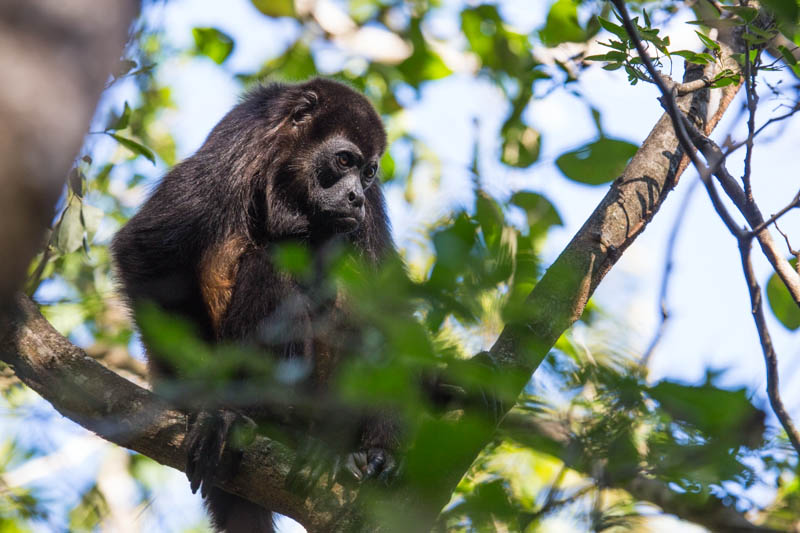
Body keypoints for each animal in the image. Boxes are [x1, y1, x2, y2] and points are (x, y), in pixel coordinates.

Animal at [111, 79, 398, 532]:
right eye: (343, 160)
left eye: (368, 172)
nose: (355, 196)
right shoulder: (242, 141)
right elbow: (146, 246)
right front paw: (207, 407)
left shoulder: (372, 207)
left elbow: (386, 312)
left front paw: (380, 451)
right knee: (271, 262)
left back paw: (327, 449)